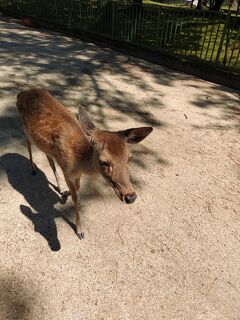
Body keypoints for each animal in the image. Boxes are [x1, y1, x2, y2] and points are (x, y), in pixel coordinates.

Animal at [16, 89, 152, 239]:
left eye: (129, 158)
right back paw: (33, 169)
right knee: (28, 145)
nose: (130, 196)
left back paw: (59, 188)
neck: (81, 163)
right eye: (104, 162)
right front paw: (80, 231)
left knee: (49, 159)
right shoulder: (67, 172)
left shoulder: (75, 173)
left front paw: (65, 194)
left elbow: (78, 187)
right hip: (24, 128)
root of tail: (21, 93)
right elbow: (76, 198)